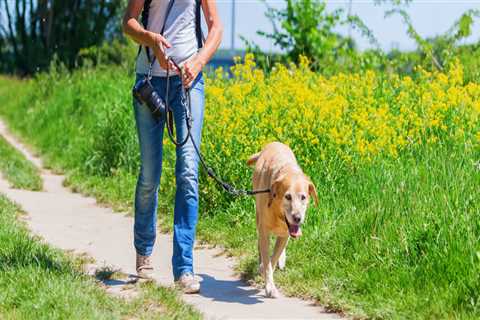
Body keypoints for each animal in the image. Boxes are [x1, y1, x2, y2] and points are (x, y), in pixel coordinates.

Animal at [248, 142, 318, 298]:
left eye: (303, 197)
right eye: (288, 197)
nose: (297, 218)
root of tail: (273, 143)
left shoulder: (286, 234)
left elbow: (273, 259)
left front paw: (269, 275)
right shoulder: (264, 232)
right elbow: (267, 259)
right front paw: (269, 285)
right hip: (257, 217)